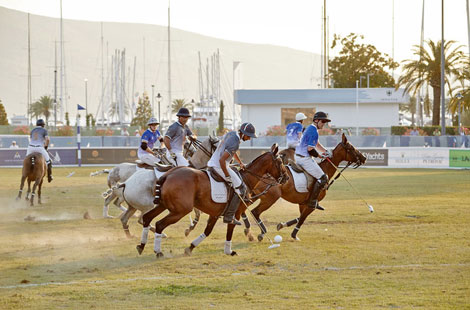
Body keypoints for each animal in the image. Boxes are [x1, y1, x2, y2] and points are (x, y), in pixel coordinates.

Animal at [136, 144, 288, 258]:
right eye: (280, 162)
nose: (286, 178)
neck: (246, 179)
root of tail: (167, 175)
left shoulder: (215, 213)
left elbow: (208, 231)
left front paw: (190, 248)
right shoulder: (235, 213)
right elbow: (230, 230)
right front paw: (229, 251)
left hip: (164, 205)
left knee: (147, 217)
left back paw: (141, 246)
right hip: (181, 210)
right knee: (159, 224)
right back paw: (158, 251)